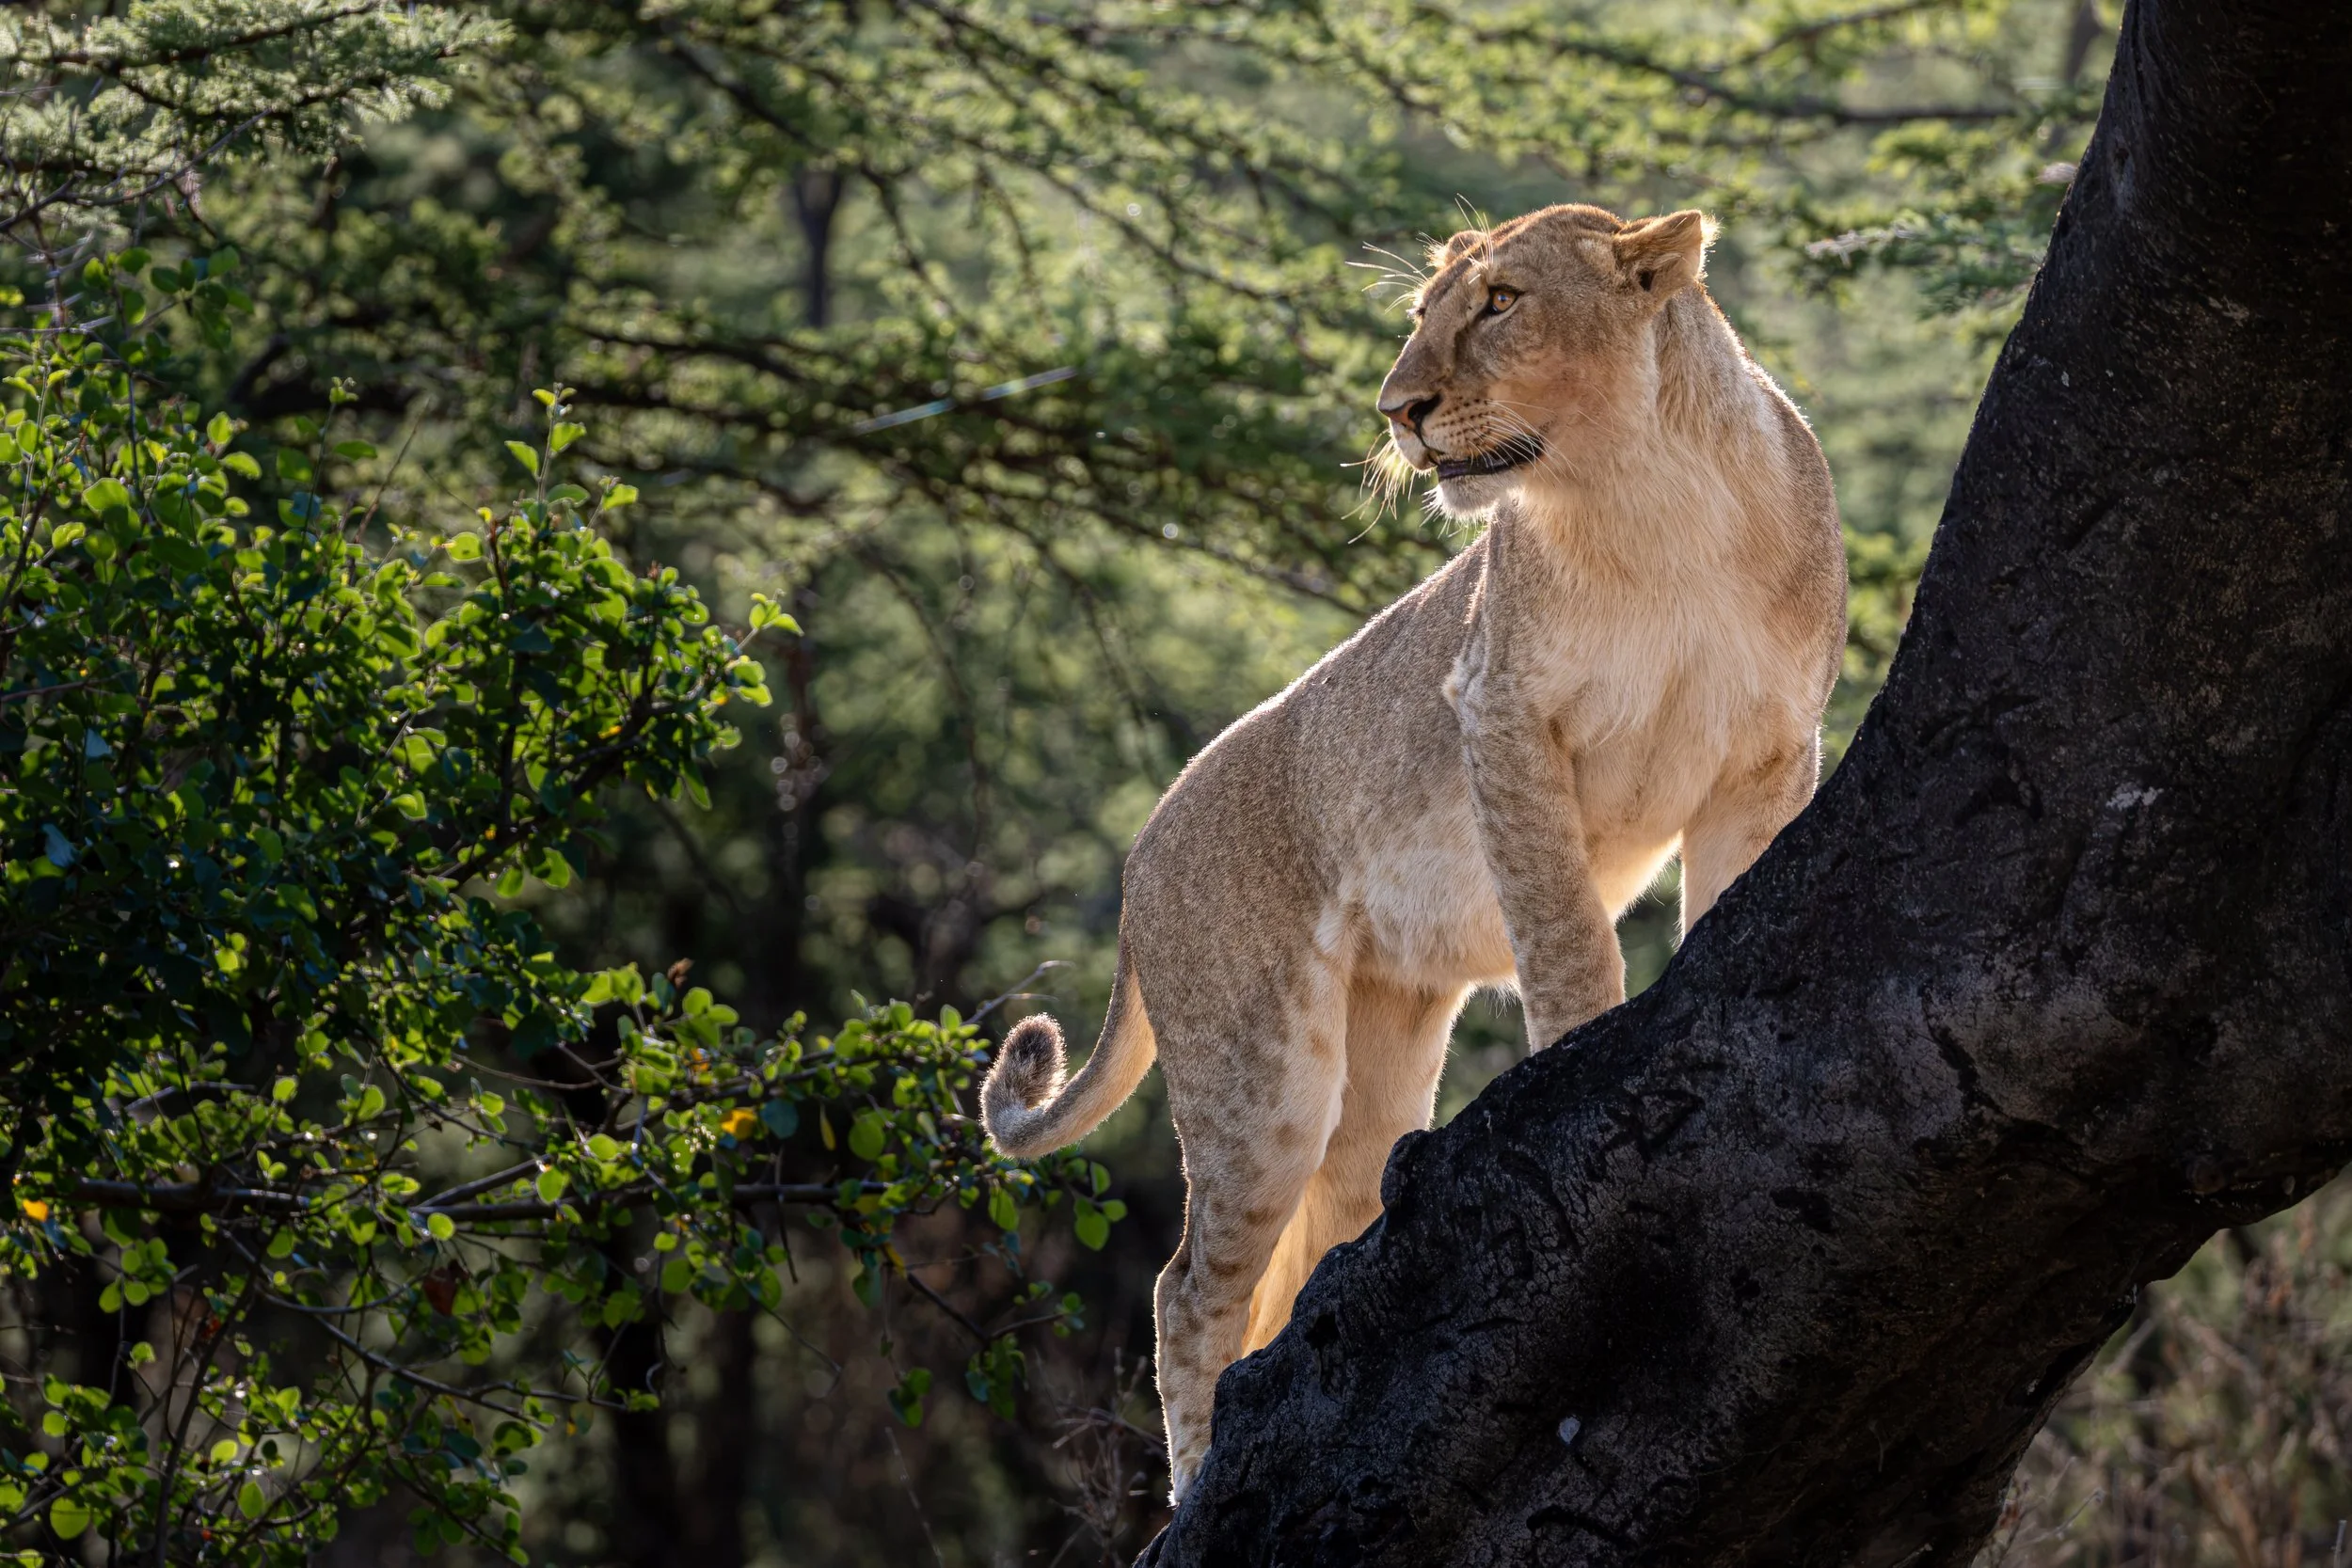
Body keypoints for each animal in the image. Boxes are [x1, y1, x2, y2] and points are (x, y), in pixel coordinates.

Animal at [982, 203, 1847, 1501]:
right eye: (1421, 313)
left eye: (1498, 302)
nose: (1396, 408)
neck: (1650, 501)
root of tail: (1138, 860)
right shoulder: (1497, 712)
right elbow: (1563, 929)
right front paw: (1585, 1050)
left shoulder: (1768, 752)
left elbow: (1730, 893)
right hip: (1261, 1074)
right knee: (1187, 1291)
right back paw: (1196, 1485)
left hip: (1379, 1060)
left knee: (1301, 1258)